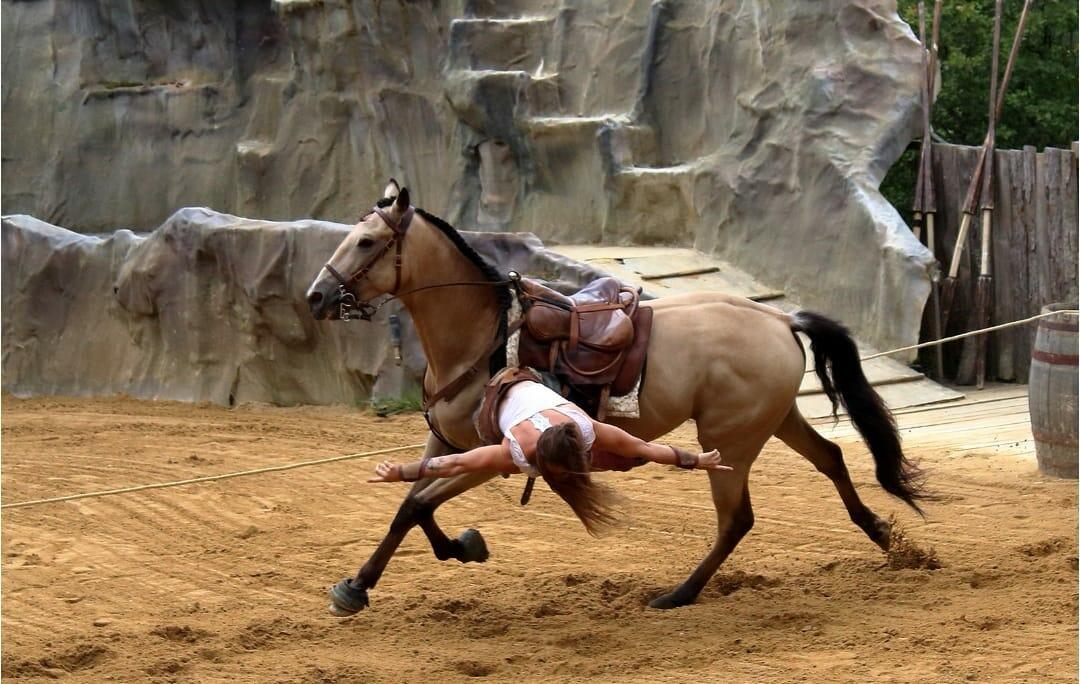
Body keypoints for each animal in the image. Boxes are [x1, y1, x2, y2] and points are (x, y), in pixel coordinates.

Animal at [306, 177, 928, 613]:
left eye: (366, 241)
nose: (315, 296)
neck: (482, 337)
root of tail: (779, 318)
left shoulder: (496, 456)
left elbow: (416, 505)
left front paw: (362, 587)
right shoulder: (444, 443)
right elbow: (411, 505)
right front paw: (444, 551)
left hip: (732, 440)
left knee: (738, 520)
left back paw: (678, 595)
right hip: (773, 421)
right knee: (832, 458)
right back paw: (884, 537)